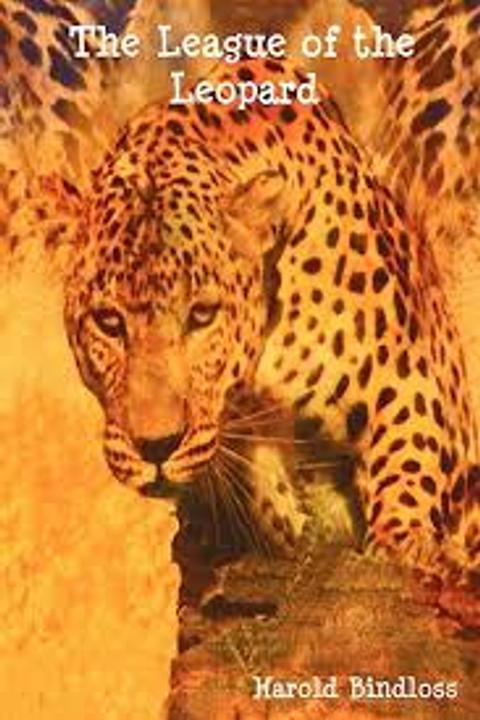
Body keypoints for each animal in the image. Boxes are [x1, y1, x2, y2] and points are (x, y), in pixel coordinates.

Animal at [64, 53, 480, 585]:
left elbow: (407, 462)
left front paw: (407, 546)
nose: (156, 448)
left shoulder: (409, 381)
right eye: (108, 322)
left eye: (202, 315)